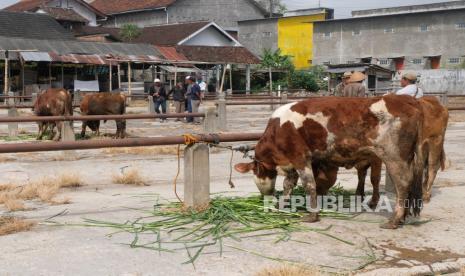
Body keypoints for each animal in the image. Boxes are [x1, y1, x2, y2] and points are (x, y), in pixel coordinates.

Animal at [234, 95, 426, 229]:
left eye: (256, 174)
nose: (265, 196)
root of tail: (407, 100)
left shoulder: (300, 156)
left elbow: (309, 185)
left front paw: (312, 215)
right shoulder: (292, 163)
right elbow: (288, 184)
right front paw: (283, 204)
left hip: (393, 156)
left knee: (402, 184)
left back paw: (394, 220)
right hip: (404, 157)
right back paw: (403, 217)